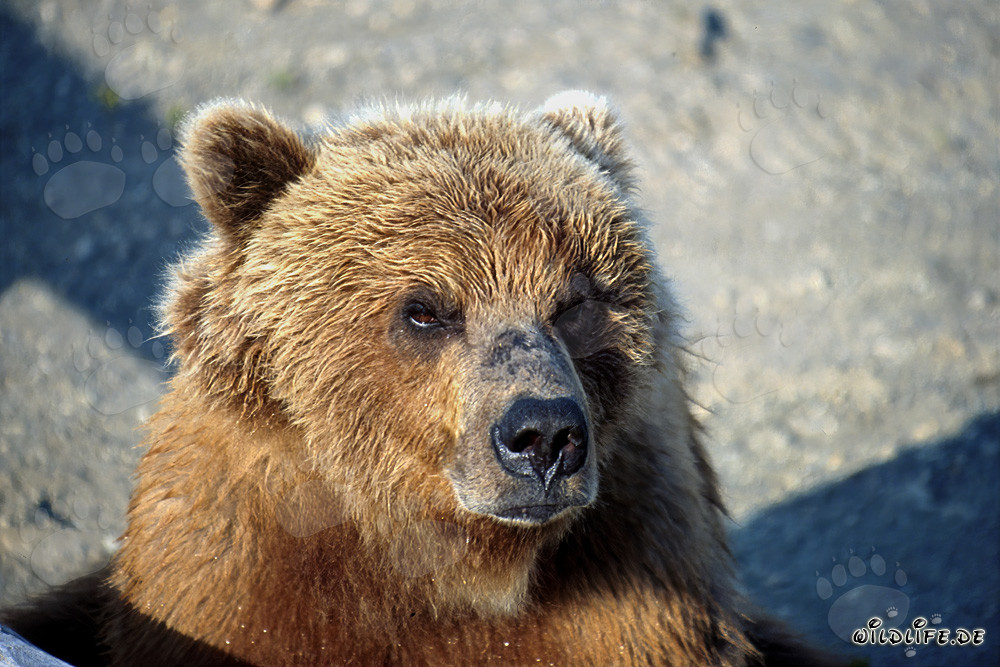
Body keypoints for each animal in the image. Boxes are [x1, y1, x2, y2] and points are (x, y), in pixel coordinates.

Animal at [2, 93, 839, 666]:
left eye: (576, 300)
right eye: (426, 308)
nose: (543, 435)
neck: (447, 565)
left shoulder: (631, 591)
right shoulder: (239, 580)